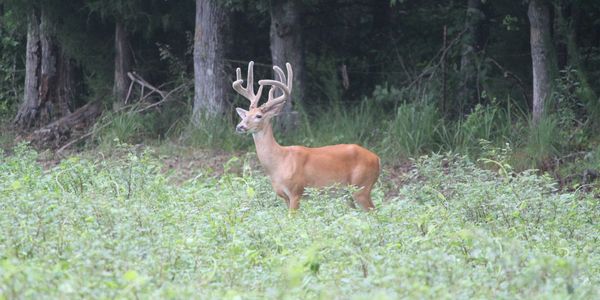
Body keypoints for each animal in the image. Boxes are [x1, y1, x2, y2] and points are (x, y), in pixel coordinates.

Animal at [233, 61, 380, 211]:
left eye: (258, 116)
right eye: (246, 115)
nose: (240, 127)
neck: (279, 162)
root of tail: (377, 159)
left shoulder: (296, 191)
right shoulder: (284, 196)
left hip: (361, 187)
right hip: (348, 193)